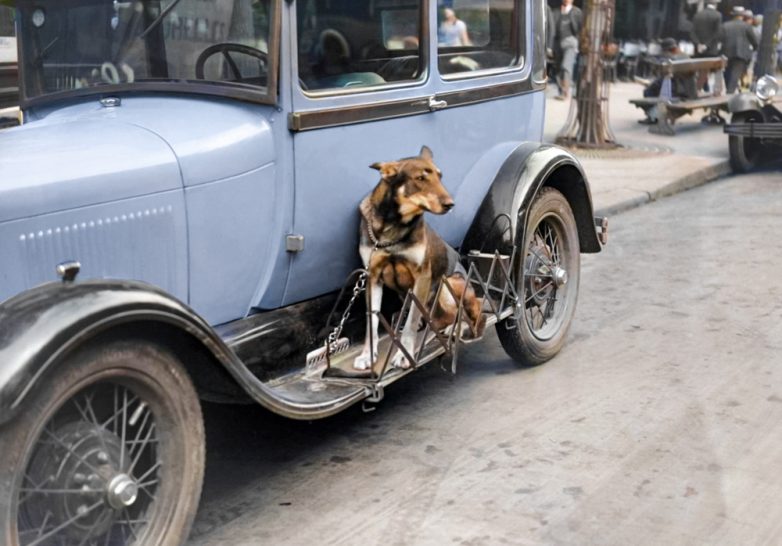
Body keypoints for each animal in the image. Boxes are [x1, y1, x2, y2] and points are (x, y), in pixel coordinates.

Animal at [356, 146, 484, 370]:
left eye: (440, 176)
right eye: (420, 178)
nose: (450, 204)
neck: (394, 225)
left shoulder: (423, 276)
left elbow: (411, 322)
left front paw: (403, 355)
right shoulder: (372, 277)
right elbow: (371, 321)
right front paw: (367, 356)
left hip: (449, 285)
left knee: (470, 311)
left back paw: (455, 329)